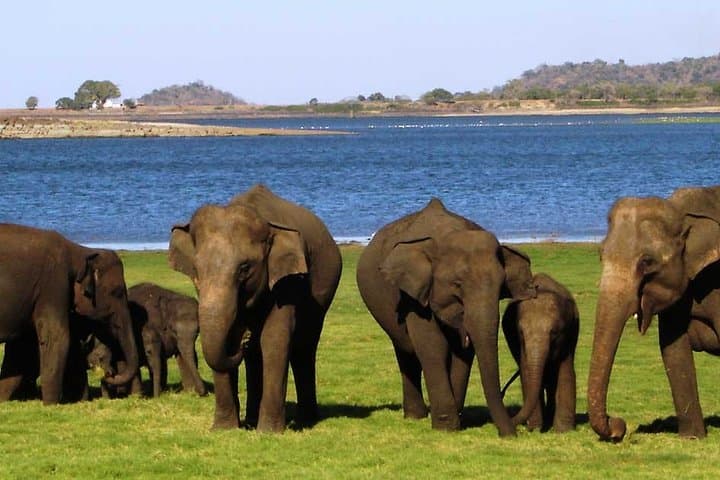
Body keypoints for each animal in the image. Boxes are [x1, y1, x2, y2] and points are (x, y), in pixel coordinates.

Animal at [0, 223, 139, 404]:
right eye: (117, 292)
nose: (108, 375)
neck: (79, 251)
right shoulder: (53, 285)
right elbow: (57, 337)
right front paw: (50, 404)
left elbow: (21, 346)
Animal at [169, 184, 342, 432]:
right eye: (197, 268)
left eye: (244, 268)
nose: (244, 338)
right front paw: (223, 429)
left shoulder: (288, 281)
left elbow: (274, 339)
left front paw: (269, 432)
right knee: (255, 357)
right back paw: (251, 419)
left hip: (324, 290)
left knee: (304, 347)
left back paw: (306, 420)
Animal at [356, 198, 536, 436]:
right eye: (457, 284)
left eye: (501, 287)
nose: (510, 435)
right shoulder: (413, 295)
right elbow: (433, 346)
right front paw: (445, 427)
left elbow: (462, 352)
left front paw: (455, 421)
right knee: (405, 350)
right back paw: (415, 416)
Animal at [502, 272, 579, 432]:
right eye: (521, 333)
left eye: (554, 333)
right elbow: (526, 372)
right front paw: (535, 428)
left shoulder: (570, 332)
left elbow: (566, 371)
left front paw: (563, 431)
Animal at [588, 185, 720, 441]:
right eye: (600, 254)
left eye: (647, 262)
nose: (618, 426)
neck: (681, 211)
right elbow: (672, 348)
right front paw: (691, 438)